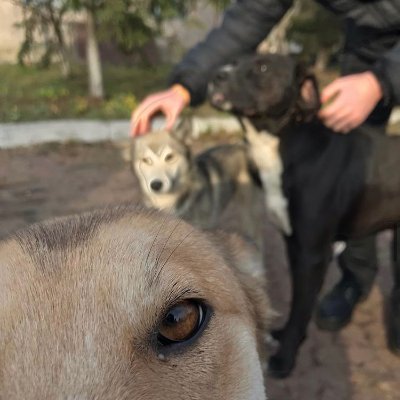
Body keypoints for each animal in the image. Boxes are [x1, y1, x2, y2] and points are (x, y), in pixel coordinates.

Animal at [208, 53, 400, 378]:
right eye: (236, 60)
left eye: (262, 67)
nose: (216, 75)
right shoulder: (294, 244)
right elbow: (297, 301)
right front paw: (285, 335)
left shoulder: (313, 254)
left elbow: (301, 307)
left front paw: (285, 358)